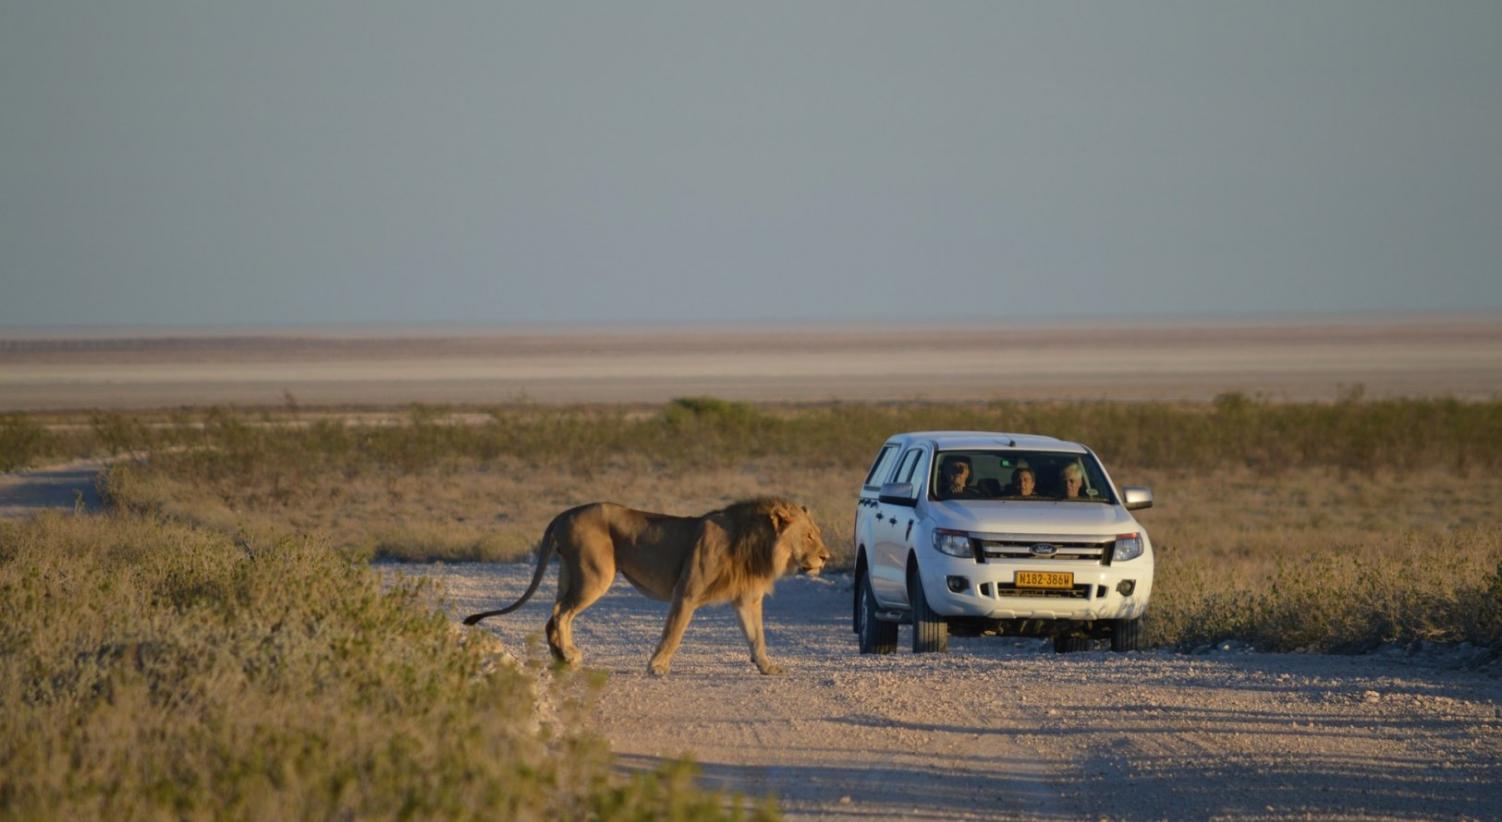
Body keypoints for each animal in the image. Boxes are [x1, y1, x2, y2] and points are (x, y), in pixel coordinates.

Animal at [462, 498, 829, 679]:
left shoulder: (747, 600)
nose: (826, 557)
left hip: (571, 572)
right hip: (595, 573)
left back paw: (563, 656)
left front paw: (767, 667)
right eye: (810, 535)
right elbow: (673, 633)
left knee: (554, 615)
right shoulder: (687, 591)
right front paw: (657, 667)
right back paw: (568, 656)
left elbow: (757, 637)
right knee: (560, 614)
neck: (757, 544)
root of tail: (564, 514)